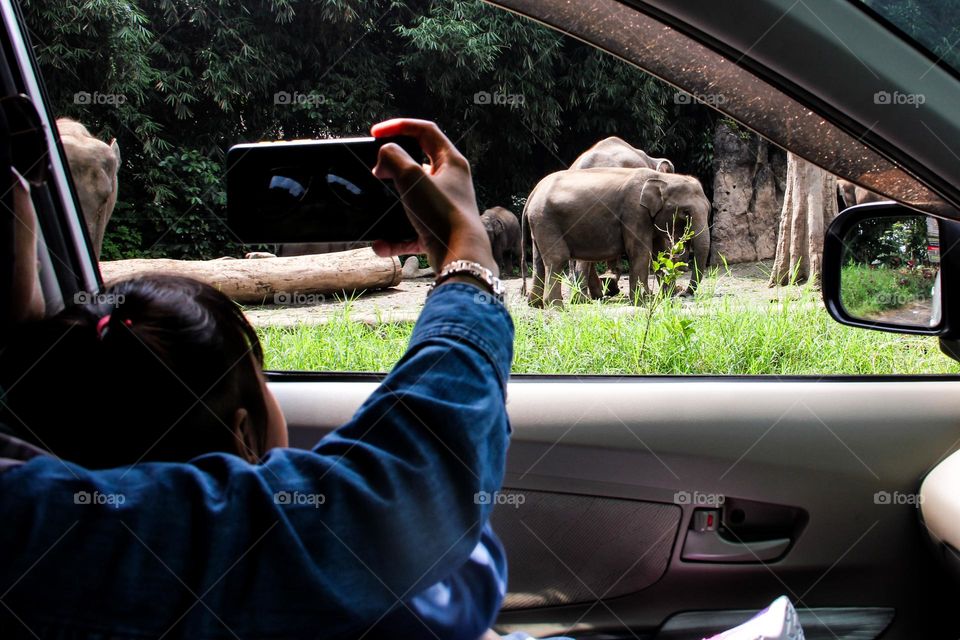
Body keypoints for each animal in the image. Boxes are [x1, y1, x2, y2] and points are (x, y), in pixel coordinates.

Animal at [522, 167, 710, 308]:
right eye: (686, 212)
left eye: (709, 210)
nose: (684, 294)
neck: (663, 178)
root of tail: (532, 194)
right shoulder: (634, 212)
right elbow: (641, 252)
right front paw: (642, 303)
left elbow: (660, 254)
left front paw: (668, 300)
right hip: (546, 220)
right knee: (557, 258)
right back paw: (556, 307)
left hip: (539, 224)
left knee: (539, 262)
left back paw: (536, 305)